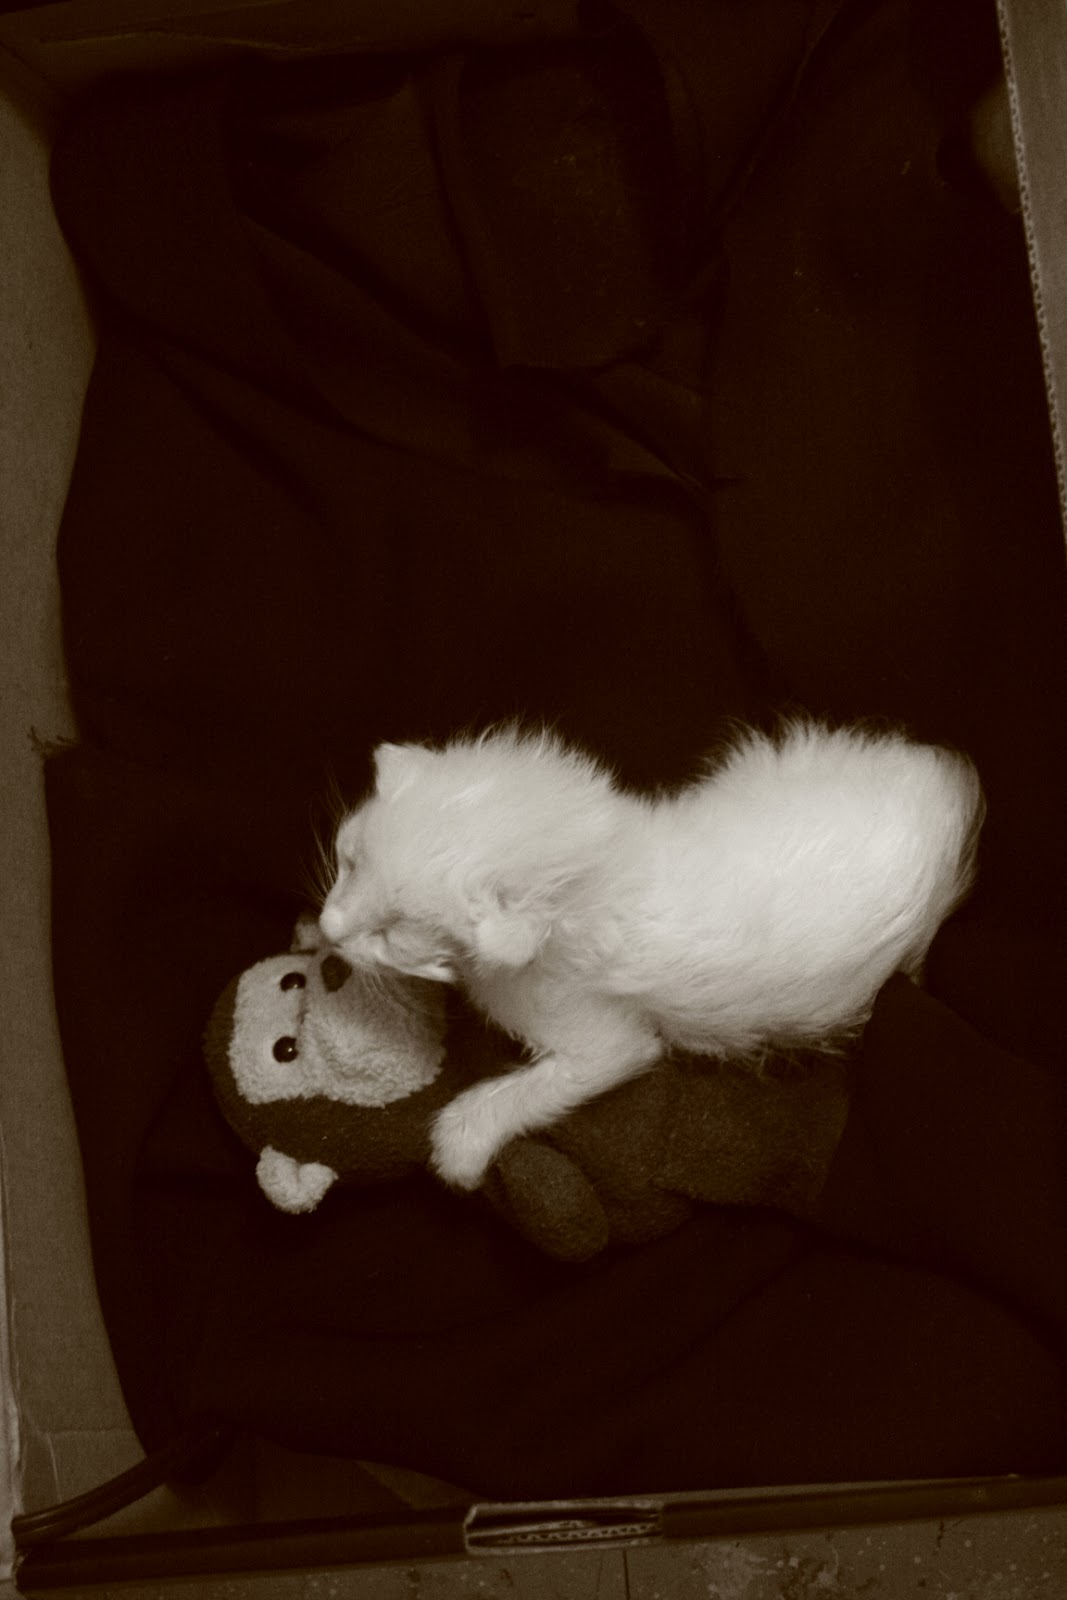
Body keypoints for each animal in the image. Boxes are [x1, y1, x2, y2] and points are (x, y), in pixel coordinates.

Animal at [319, 721, 984, 1190]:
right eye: (348, 862)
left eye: (393, 932)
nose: (327, 928)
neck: (592, 870)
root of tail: (944, 791)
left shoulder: (611, 1042)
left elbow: (538, 1086)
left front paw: (461, 1142)